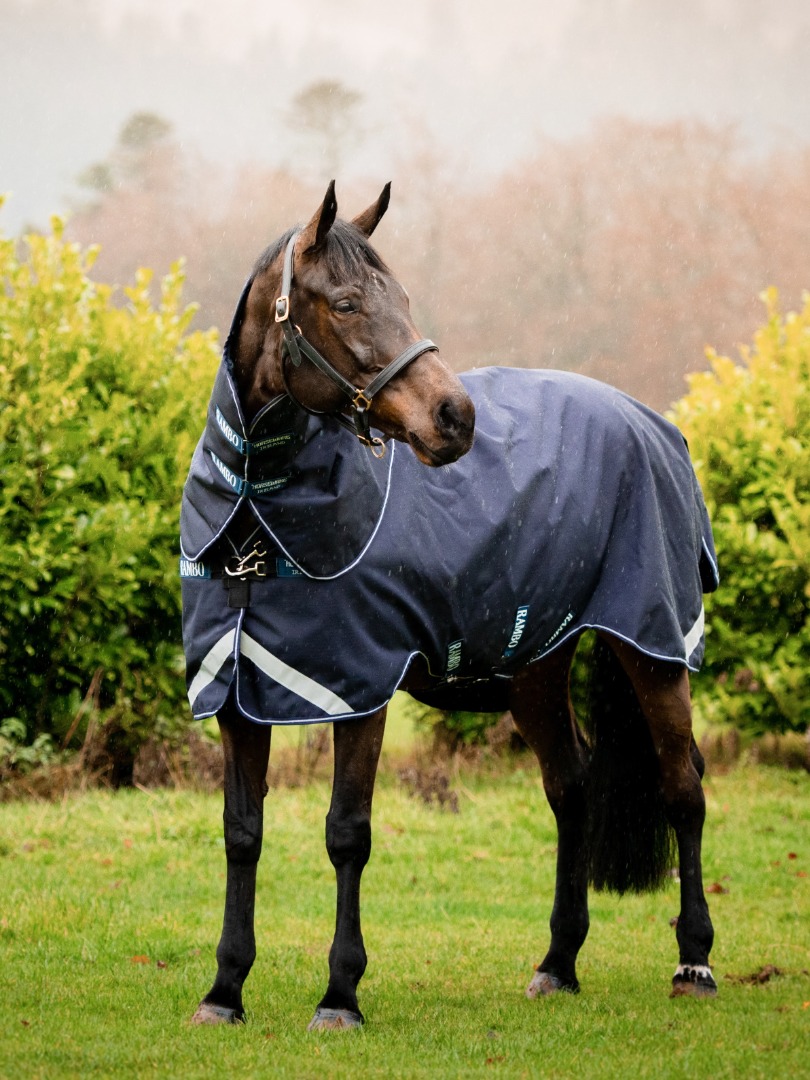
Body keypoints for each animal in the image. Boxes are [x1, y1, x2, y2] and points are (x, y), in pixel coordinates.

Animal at [180, 179, 721, 1028]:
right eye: (345, 304)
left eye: (402, 298)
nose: (454, 418)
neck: (257, 523)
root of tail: (652, 422)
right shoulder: (239, 693)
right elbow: (242, 834)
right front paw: (225, 990)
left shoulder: (360, 688)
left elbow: (347, 833)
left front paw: (340, 995)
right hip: (538, 668)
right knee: (572, 787)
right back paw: (558, 962)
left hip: (652, 644)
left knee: (682, 786)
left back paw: (694, 960)